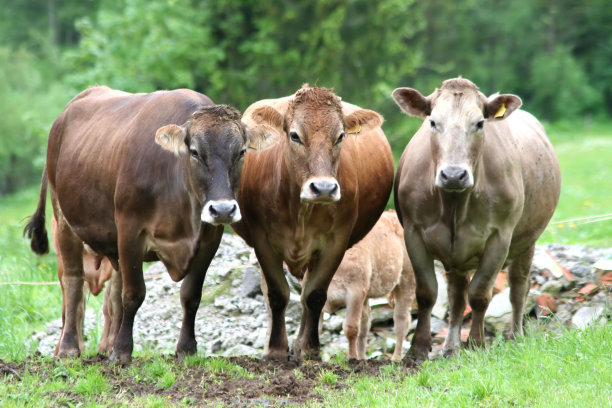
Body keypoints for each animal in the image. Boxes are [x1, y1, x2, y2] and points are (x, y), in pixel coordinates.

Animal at [24, 85, 268, 364]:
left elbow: (191, 295)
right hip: (64, 219)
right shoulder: (130, 231)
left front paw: (186, 349)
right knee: (74, 282)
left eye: (241, 152)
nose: (223, 209)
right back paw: (69, 349)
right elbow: (133, 294)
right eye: (195, 152)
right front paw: (122, 352)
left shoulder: (210, 239)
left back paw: (106, 345)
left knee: (114, 292)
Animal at [232, 85, 394, 360]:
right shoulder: (263, 241)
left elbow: (315, 295)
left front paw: (309, 349)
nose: (324, 188)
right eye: (295, 135)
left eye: (340, 136)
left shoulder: (336, 242)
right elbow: (277, 294)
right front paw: (275, 349)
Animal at [320, 210, 416, 360]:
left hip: (407, 279)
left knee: (401, 320)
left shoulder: (355, 291)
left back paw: (396, 358)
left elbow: (351, 328)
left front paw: (352, 358)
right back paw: (363, 358)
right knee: (365, 324)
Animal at [392, 78, 560, 364]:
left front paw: (476, 344)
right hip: (457, 257)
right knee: (457, 297)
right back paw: (450, 348)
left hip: (527, 241)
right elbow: (427, 293)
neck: (454, 204)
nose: (453, 174)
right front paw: (417, 350)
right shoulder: (413, 234)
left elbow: (480, 294)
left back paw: (515, 335)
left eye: (480, 123)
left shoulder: (500, 238)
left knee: (519, 287)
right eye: (432, 122)